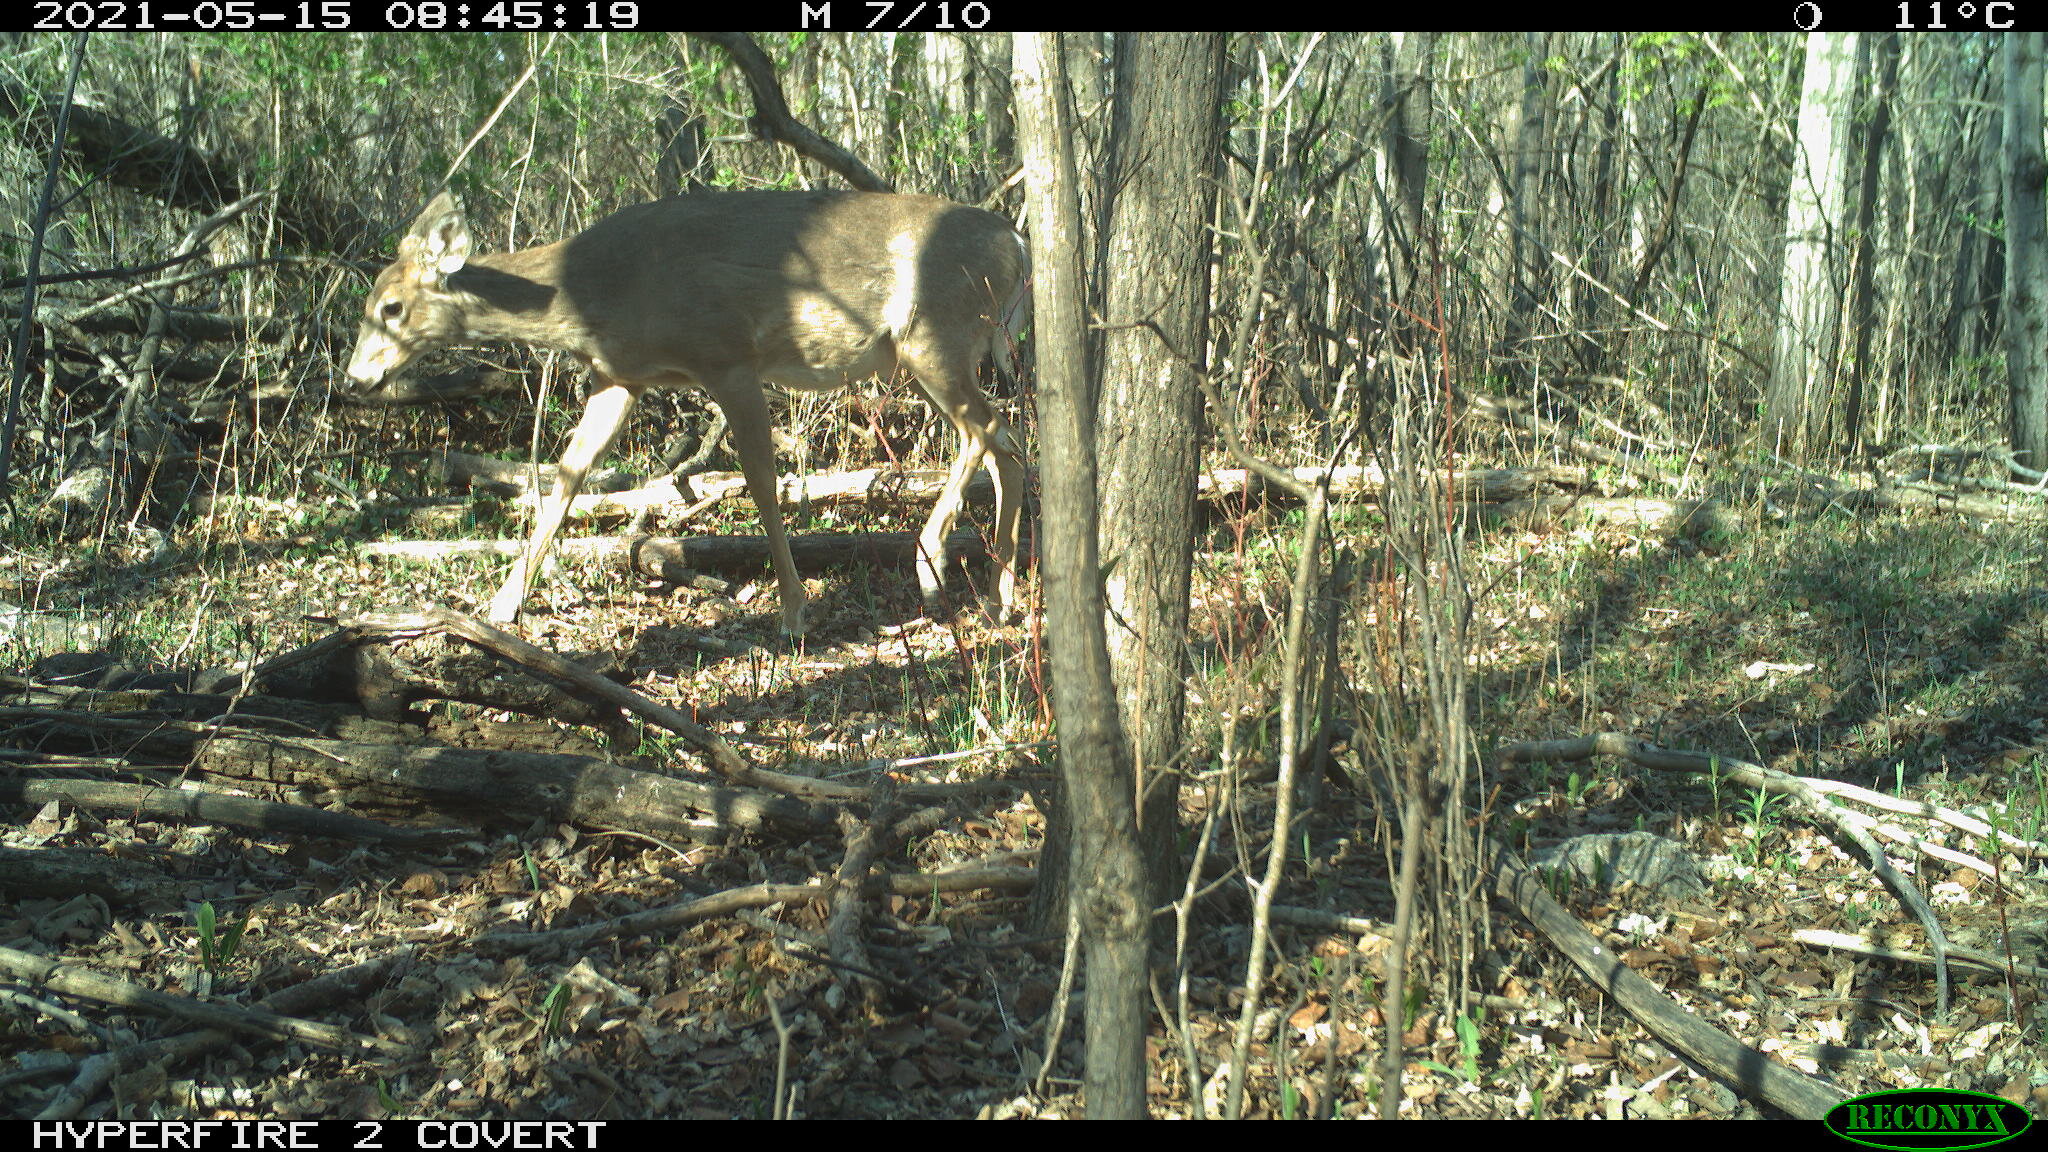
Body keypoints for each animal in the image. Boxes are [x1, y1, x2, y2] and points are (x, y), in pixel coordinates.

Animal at [342, 190, 1028, 635]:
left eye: (392, 307)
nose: (356, 378)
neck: (595, 290)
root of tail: (1017, 243)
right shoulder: (620, 376)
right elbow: (567, 475)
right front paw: (502, 606)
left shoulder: (727, 356)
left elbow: (761, 482)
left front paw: (794, 613)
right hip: (937, 350)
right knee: (1009, 443)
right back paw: (998, 598)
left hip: (934, 333)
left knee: (989, 429)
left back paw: (933, 559)